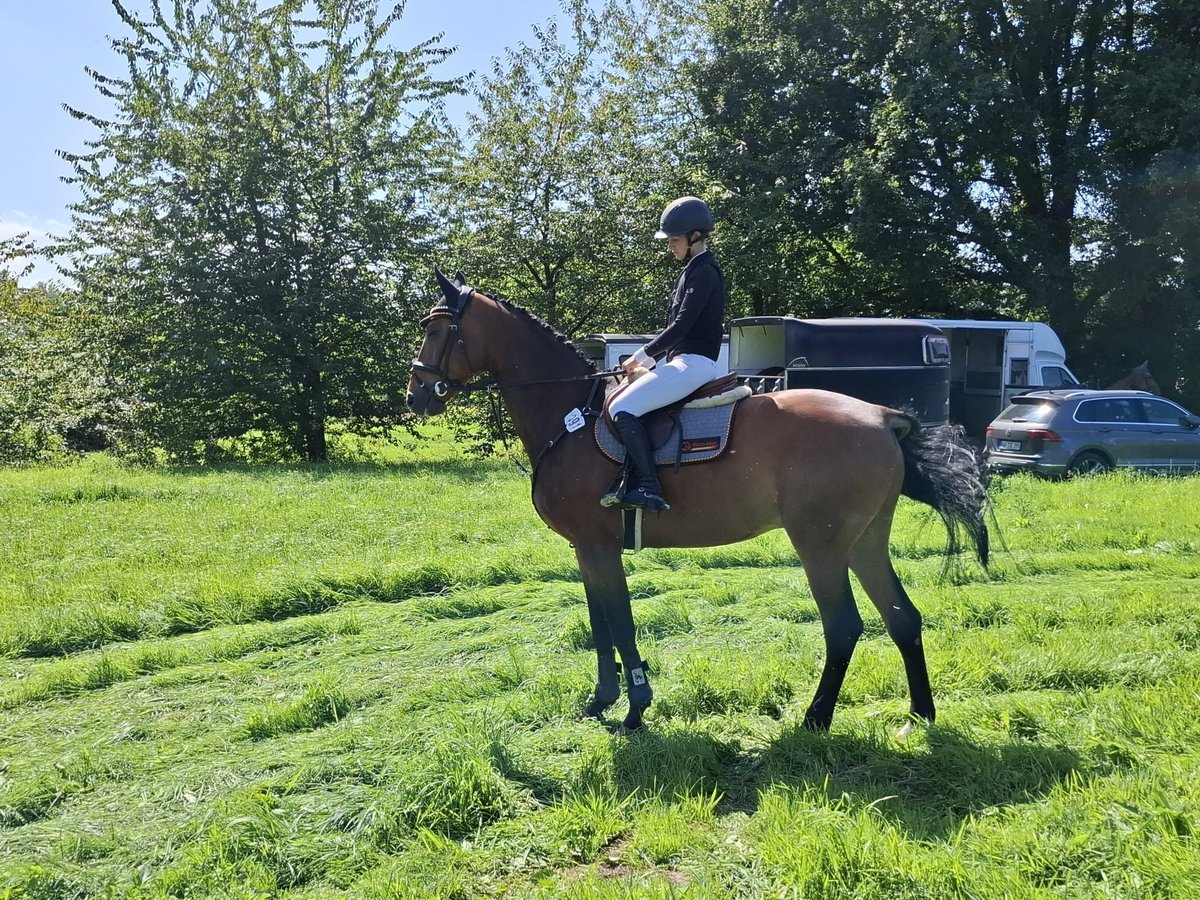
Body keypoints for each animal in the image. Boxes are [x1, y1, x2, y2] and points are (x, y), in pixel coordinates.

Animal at [408, 271, 988, 734]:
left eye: (436, 330)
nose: (416, 396)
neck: (569, 415)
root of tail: (882, 417)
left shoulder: (600, 547)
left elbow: (620, 623)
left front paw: (636, 709)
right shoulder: (585, 550)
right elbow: (599, 625)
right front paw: (601, 701)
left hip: (821, 547)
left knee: (843, 625)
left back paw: (816, 718)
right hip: (865, 541)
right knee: (902, 617)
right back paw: (919, 715)